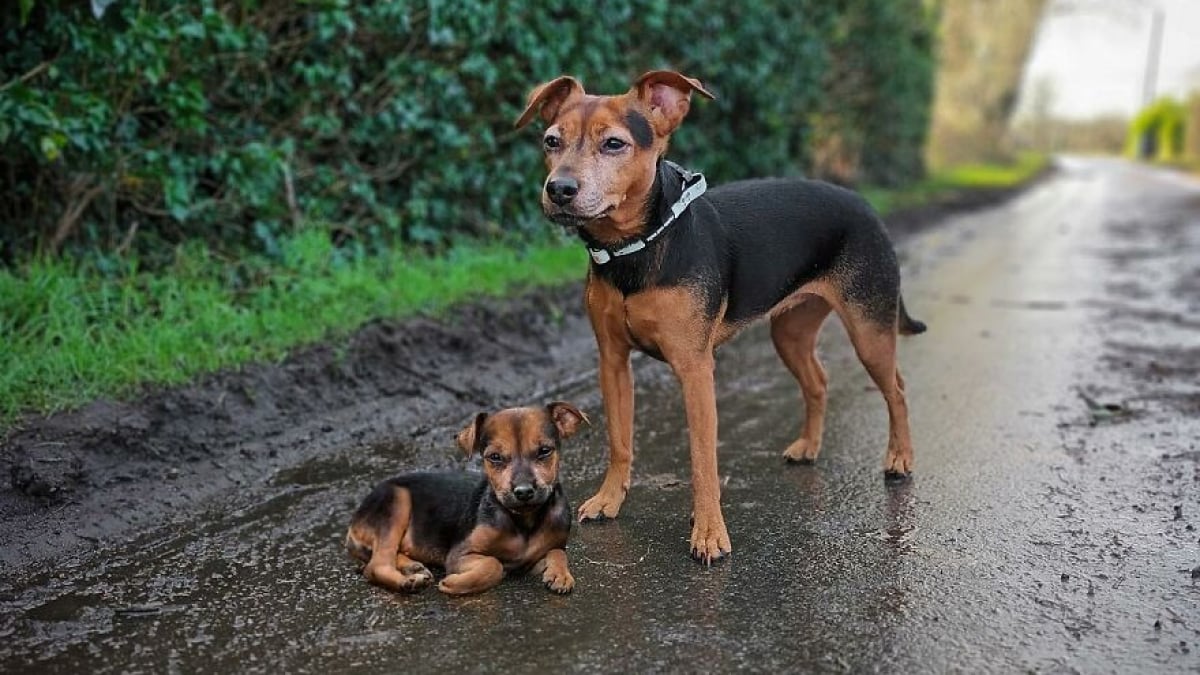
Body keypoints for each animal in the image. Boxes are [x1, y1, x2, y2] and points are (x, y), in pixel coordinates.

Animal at [345, 401, 588, 590]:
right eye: (495, 457)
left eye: (545, 451)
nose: (524, 492)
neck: (523, 520)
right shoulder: (459, 554)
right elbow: (494, 564)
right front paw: (456, 583)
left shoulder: (540, 554)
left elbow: (557, 552)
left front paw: (560, 575)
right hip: (395, 501)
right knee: (375, 566)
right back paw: (408, 580)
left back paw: (411, 566)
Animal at [516, 70, 926, 562]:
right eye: (551, 141)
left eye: (614, 144)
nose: (559, 189)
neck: (637, 248)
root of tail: (865, 205)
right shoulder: (612, 361)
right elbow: (619, 440)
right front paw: (609, 499)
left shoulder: (695, 369)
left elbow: (702, 458)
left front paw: (709, 533)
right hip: (790, 332)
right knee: (818, 381)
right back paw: (808, 447)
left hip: (869, 328)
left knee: (897, 389)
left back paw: (899, 458)